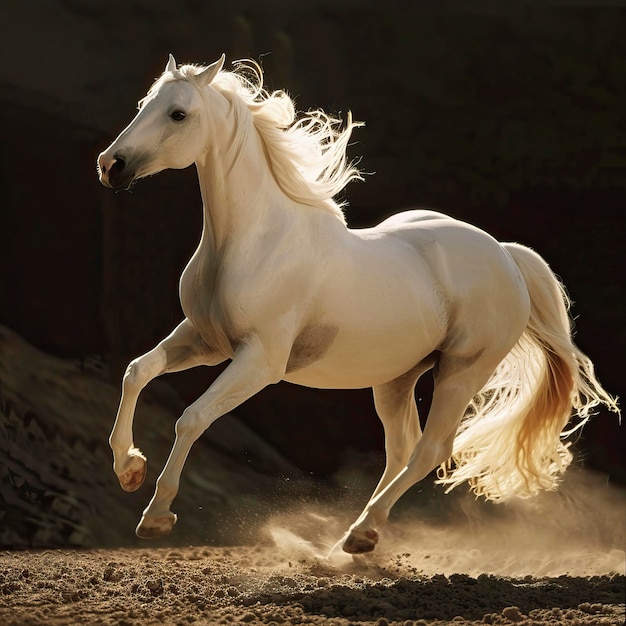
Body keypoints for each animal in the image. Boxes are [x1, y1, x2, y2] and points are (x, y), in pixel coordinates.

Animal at [95, 54, 616, 552]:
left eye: (178, 114)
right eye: (143, 105)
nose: (110, 166)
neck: (255, 242)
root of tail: (507, 256)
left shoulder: (259, 361)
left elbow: (192, 417)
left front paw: (156, 517)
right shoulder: (204, 340)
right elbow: (137, 371)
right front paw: (129, 469)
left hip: (462, 370)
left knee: (430, 450)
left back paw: (359, 536)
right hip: (397, 378)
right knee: (402, 449)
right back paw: (352, 540)